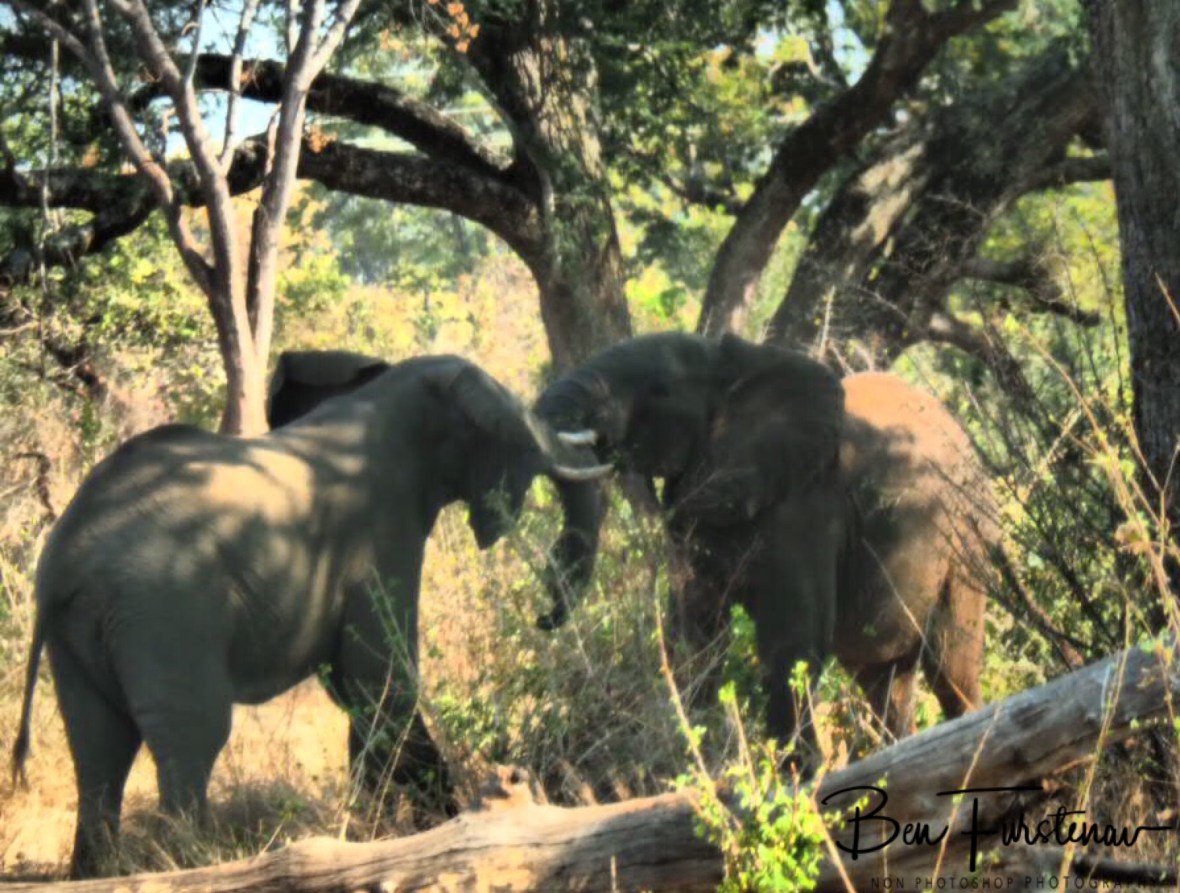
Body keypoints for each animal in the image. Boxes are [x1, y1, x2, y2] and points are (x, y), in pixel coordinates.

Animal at [10, 354, 605, 878]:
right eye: (514, 430)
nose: (544, 617)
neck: (391, 394)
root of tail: (62, 561)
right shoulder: (380, 533)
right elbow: (381, 678)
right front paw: (404, 828)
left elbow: (356, 686)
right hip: (162, 607)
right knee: (191, 738)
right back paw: (199, 861)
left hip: (83, 631)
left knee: (98, 749)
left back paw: (97, 871)